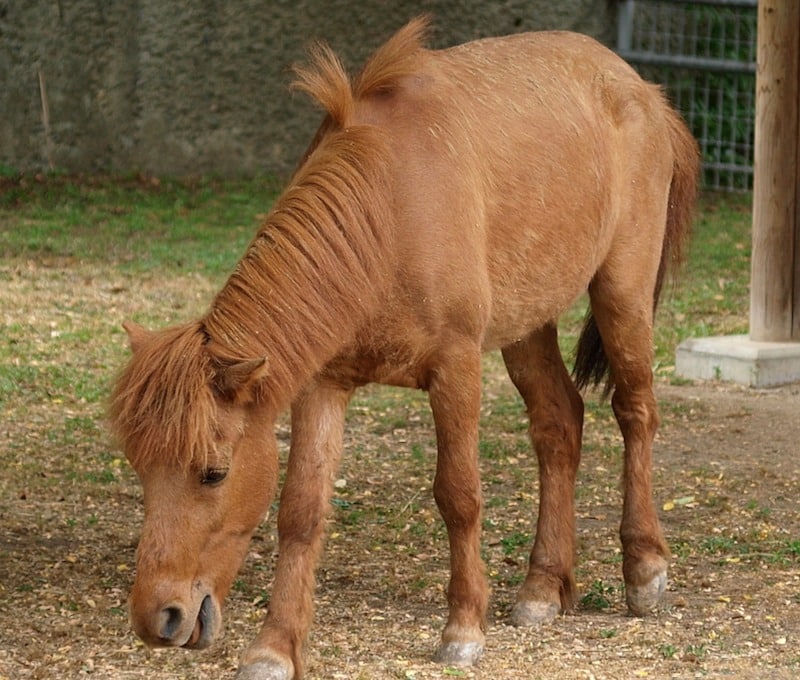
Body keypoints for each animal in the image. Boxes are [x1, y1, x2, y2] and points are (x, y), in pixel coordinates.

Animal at [110, 16, 698, 680]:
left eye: (214, 473)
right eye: (140, 468)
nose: (159, 617)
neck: (387, 210)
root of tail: (640, 87)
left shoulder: (455, 368)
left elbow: (459, 495)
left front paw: (463, 627)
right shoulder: (323, 384)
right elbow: (301, 511)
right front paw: (275, 648)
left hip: (621, 292)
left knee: (635, 412)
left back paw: (645, 569)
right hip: (526, 323)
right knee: (558, 423)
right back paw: (544, 587)